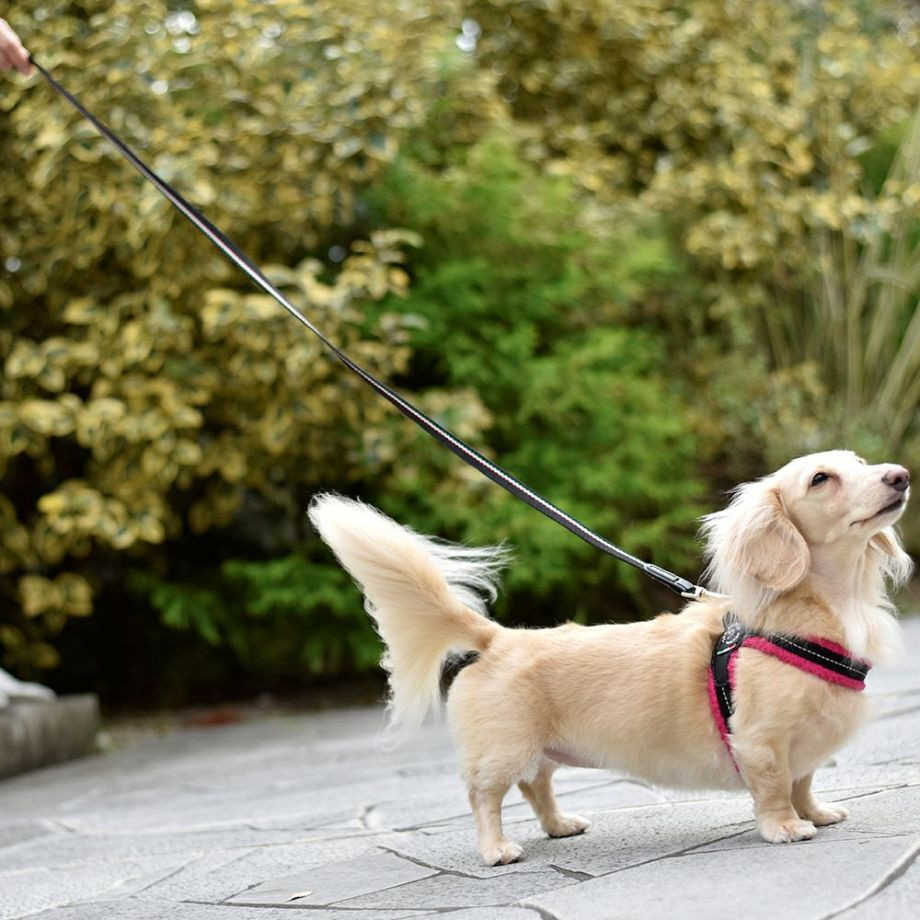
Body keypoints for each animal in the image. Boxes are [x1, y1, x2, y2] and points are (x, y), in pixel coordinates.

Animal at [308, 450, 904, 868]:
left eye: (860, 464)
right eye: (821, 479)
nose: (899, 476)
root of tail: (500, 639)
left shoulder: (805, 745)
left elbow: (804, 782)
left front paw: (817, 813)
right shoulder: (762, 742)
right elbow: (777, 788)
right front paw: (786, 827)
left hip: (537, 750)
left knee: (537, 785)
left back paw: (559, 825)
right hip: (502, 752)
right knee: (486, 797)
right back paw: (496, 849)